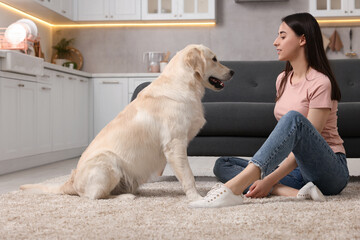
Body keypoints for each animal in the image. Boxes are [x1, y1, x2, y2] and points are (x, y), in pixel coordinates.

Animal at [20, 43, 233, 201]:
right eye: (214, 59)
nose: (232, 72)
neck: (183, 84)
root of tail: (72, 181)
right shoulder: (175, 145)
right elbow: (188, 176)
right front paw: (196, 198)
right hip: (109, 162)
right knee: (94, 196)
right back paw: (126, 197)